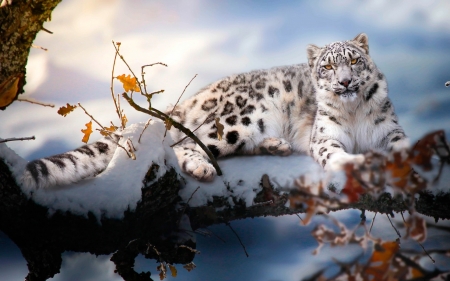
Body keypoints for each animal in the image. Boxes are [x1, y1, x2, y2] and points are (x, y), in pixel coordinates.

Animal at [19, 32, 410, 188]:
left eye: (354, 61)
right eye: (327, 67)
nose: (344, 82)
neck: (354, 114)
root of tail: (202, 93)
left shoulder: (388, 128)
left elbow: (401, 144)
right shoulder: (325, 136)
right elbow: (333, 151)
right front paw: (353, 163)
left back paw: (276, 145)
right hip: (237, 120)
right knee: (183, 144)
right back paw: (203, 167)